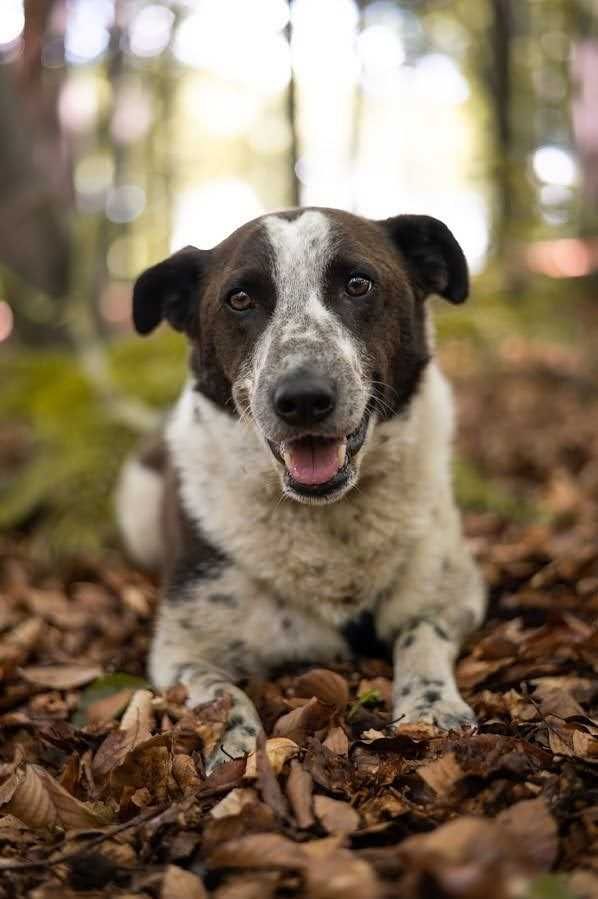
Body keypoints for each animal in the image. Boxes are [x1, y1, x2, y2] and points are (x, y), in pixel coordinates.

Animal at [116, 207, 488, 768]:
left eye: (358, 284)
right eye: (239, 299)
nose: (304, 398)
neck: (327, 516)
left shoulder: (458, 596)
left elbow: (421, 631)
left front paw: (431, 704)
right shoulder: (180, 651)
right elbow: (222, 693)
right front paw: (236, 745)